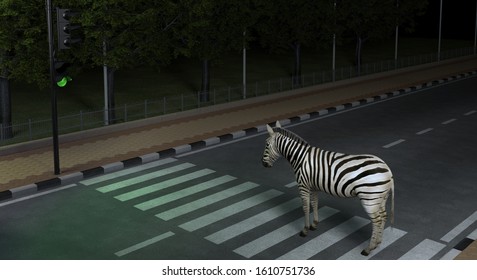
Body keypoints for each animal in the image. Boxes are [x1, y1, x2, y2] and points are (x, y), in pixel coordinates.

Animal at [262, 120, 392, 256]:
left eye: (266, 145)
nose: (263, 164)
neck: (300, 158)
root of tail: (387, 168)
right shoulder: (313, 186)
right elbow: (314, 203)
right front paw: (314, 224)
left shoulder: (303, 185)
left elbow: (305, 207)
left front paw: (305, 230)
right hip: (381, 197)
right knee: (383, 216)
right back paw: (378, 243)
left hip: (369, 199)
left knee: (377, 221)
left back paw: (368, 248)